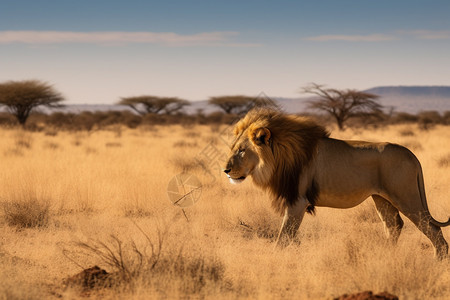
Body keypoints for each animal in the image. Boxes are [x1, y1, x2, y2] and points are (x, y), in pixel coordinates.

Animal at [223, 109, 448, 258]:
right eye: (233, 148)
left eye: (242, 150)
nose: (225, 170)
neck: (279, 156)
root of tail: (412, 154)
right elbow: (288, 236)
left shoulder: (297, 201)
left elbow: (283, 236)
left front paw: (275, 258)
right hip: (382, 198)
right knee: (394, 225)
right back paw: (385, 256)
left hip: (406, 197)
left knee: (432, 229)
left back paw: (439, 261)